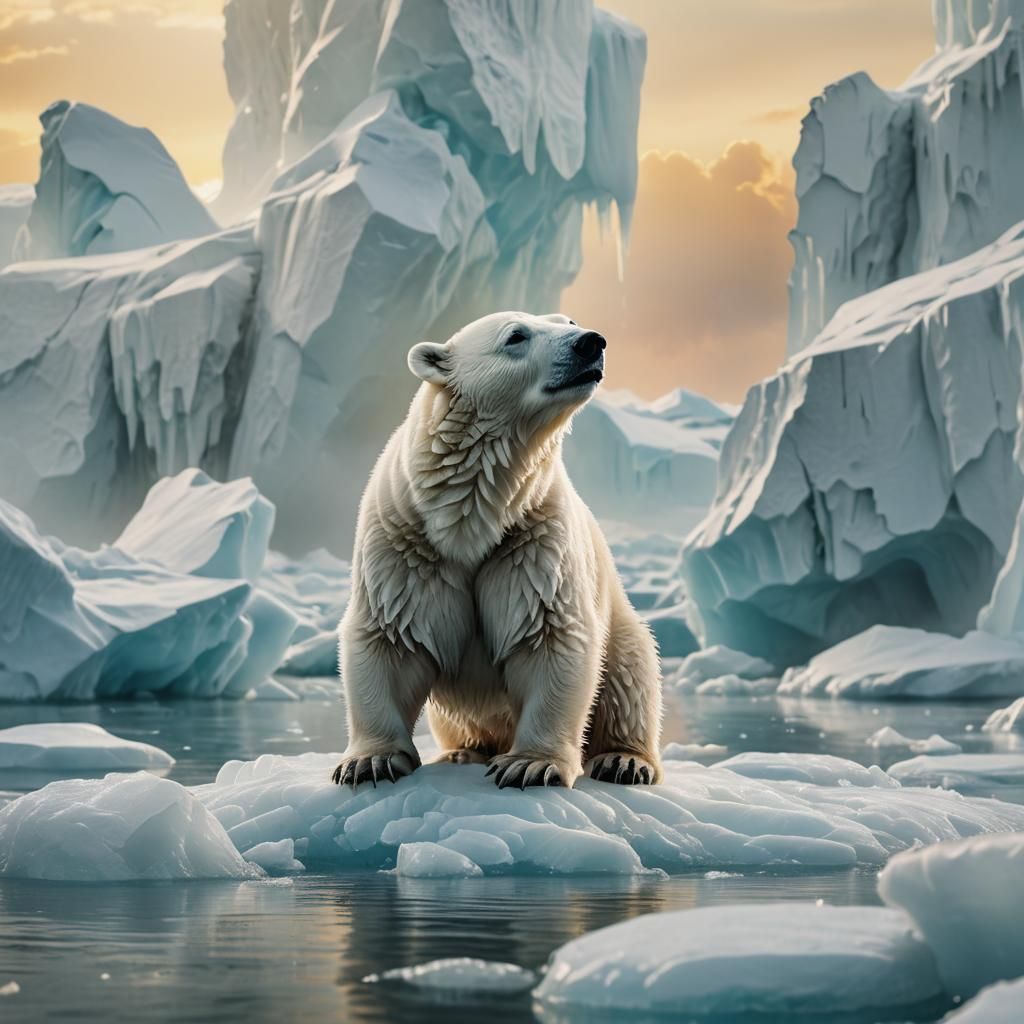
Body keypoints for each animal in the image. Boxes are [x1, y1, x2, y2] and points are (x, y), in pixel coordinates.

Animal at [332, 311, 663, 790]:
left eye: (567, 320)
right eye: (516, 336)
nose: (590, 342)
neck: (471, 514)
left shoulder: (532, 539)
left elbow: (549, 634)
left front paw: (530, 764)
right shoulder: (406, 541)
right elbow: (390, 635)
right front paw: (369, 761)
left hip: (619, 624)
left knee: (629, 674)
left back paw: (625, 760)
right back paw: (463, 752)